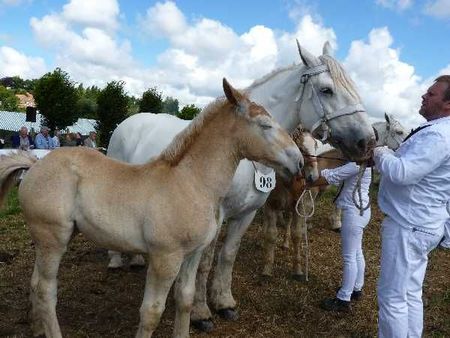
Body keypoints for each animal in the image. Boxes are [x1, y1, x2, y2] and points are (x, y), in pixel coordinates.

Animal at [0, 79, 302, 338]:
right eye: (265, 125)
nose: (298, 161)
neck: (190, 181)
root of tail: (34, 165)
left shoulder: (193, 254)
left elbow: (185, 300)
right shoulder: (165, 258)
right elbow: (151, 312)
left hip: (51, 240)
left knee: (35, 283)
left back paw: (37, 328)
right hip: (53, 238)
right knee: (45, 290)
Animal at [107, 40, 374, 330]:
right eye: (327, 90)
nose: (367, 141)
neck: (241, 154)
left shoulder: (248, 213)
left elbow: (227, 256)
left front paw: (224, 302)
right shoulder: (218, 216)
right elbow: (205, 263)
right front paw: (201, 313)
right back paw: (116, 260)